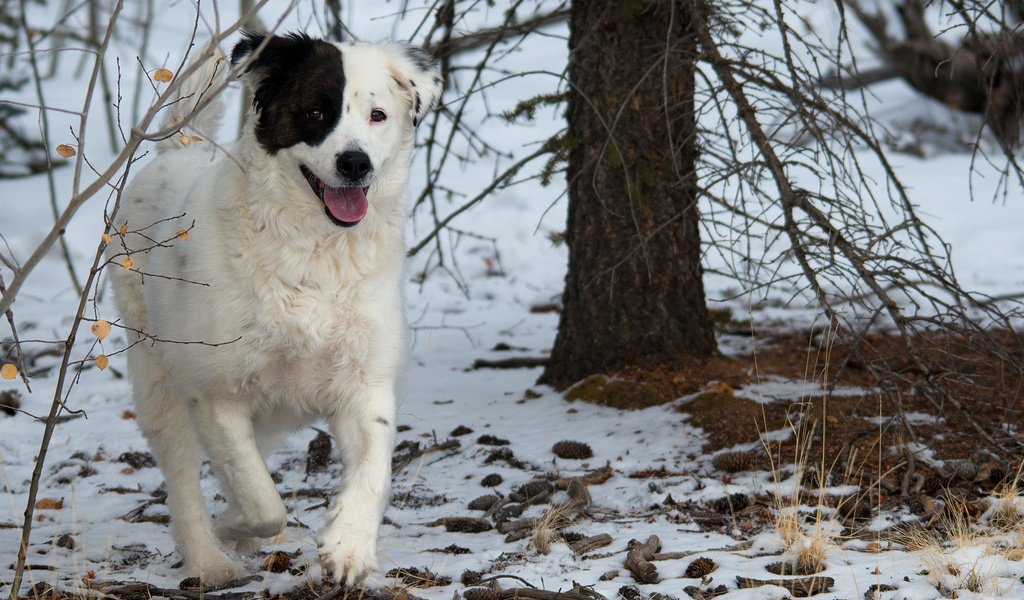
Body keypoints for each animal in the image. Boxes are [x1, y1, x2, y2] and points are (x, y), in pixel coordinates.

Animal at [109, 30, 444, 581]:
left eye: (377, 115)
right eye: (315, 112)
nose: (356, 163)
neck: (315, 254)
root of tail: (183, 146)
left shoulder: (364, 383)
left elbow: (374, 470)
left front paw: (349, 546)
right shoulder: (216, 392)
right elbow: (262, 501)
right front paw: (233, 529)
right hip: (157, 376)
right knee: (183, 476)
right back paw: (208, 560)